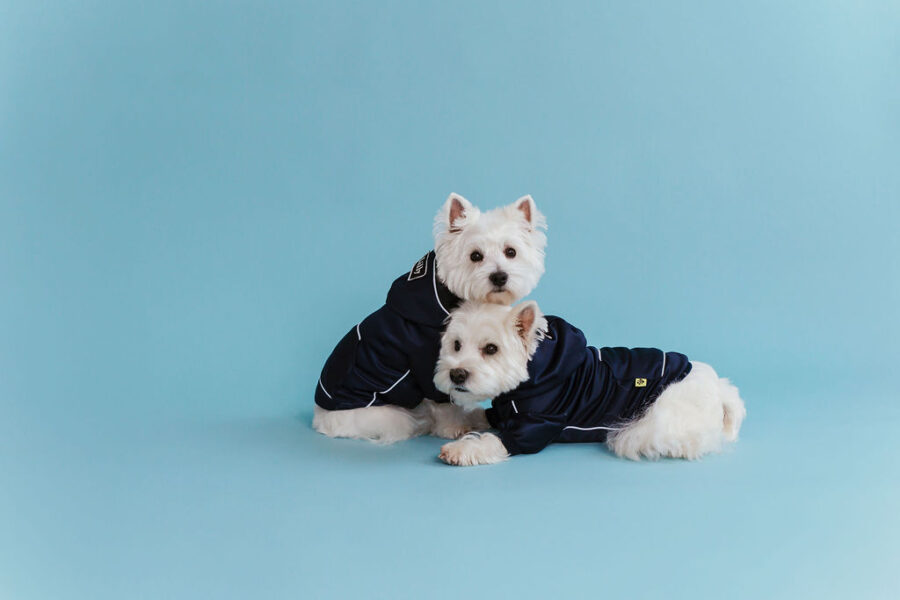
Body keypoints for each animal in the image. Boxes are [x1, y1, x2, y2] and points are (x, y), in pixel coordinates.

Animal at [312, 195, 544, 442]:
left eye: (511, 252)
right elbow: (446, 398)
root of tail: (319, 419)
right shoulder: (426, 361)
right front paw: (454, 427)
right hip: (388, 417)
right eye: (475, 256)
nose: (500, 277)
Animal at [434, 302, 744, 466]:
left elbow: (494, 440)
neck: (534, 372)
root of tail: (719, 389)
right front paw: (454, 423)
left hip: (664, 419)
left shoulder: (535, 425)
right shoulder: (502, 410)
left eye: (491, 349)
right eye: (457, 345)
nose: (457, 374)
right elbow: (481, 415)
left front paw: (460, 450)